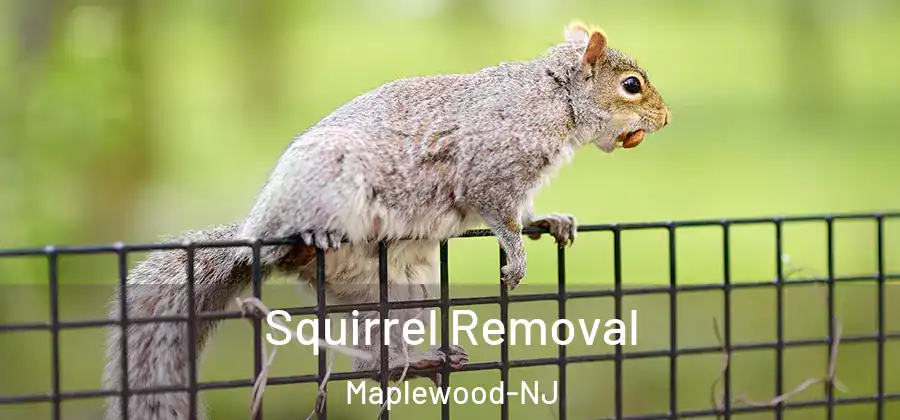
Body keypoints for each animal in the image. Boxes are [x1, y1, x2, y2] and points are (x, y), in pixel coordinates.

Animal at [101, 20, 670, 420]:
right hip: (326, 188)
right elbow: (498, 213)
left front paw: (549, 222)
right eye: (631, 85)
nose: (665, 119)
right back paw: (307, 239)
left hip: (400, 293)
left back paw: (419, 361)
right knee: (295, 249)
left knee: (372, 364)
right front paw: (516, 257)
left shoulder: (519, 183)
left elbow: (524, 211)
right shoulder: (489, 167)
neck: (554, 97)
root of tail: (252, 235)